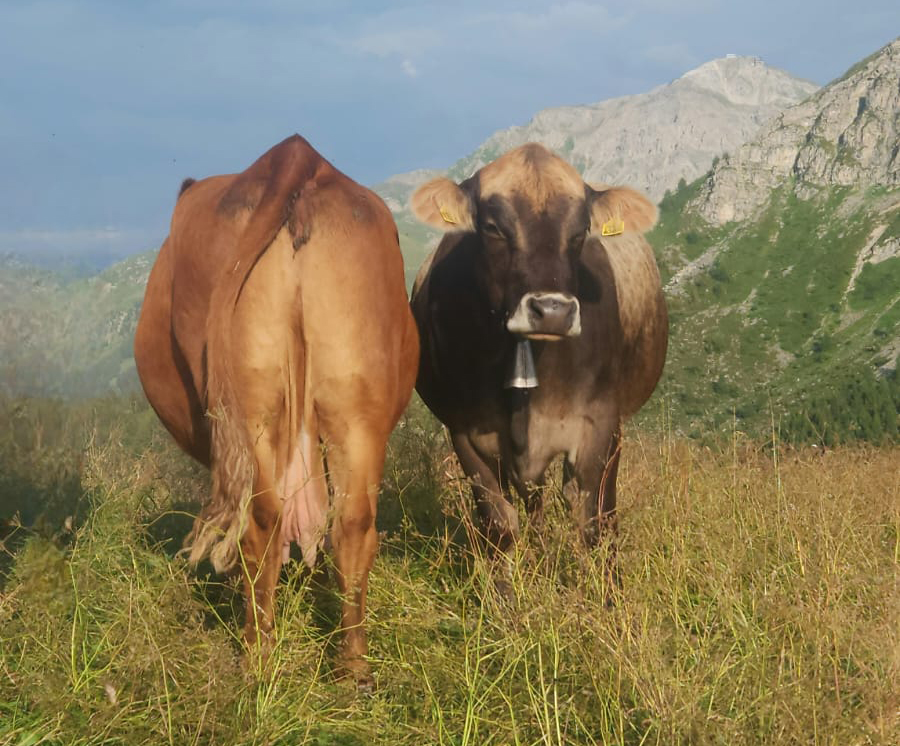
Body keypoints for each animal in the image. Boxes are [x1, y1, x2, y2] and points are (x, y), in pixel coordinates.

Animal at [134, 135, 419, 686]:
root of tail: (297, 155)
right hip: (357, 408)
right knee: (353, 525)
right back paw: (354, 668)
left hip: (253, 413)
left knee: (259, 526)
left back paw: (258, 659)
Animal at [409, 143, 667, 594]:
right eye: (492, 227)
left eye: (580, 232)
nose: (552, 310)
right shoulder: (465, 431)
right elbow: (499, 525)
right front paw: (505, 603)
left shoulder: (600, 423)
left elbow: (594, 520)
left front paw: (609, 600)